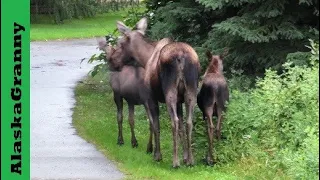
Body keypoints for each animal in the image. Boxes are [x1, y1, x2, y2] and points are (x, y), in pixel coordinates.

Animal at [115, 17, 200, 167]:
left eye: (121, 43)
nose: (113, 60)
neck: (145, 58)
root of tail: (181, 56)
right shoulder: (179, 101)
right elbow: (181, 128)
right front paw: (185, 157)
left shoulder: (150, 98)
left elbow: (155, 125)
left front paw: (157, 155)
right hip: (191, 91)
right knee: (188, 122)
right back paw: (191, 160)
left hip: (169, 92)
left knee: (174, 121)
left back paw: (175, 162)